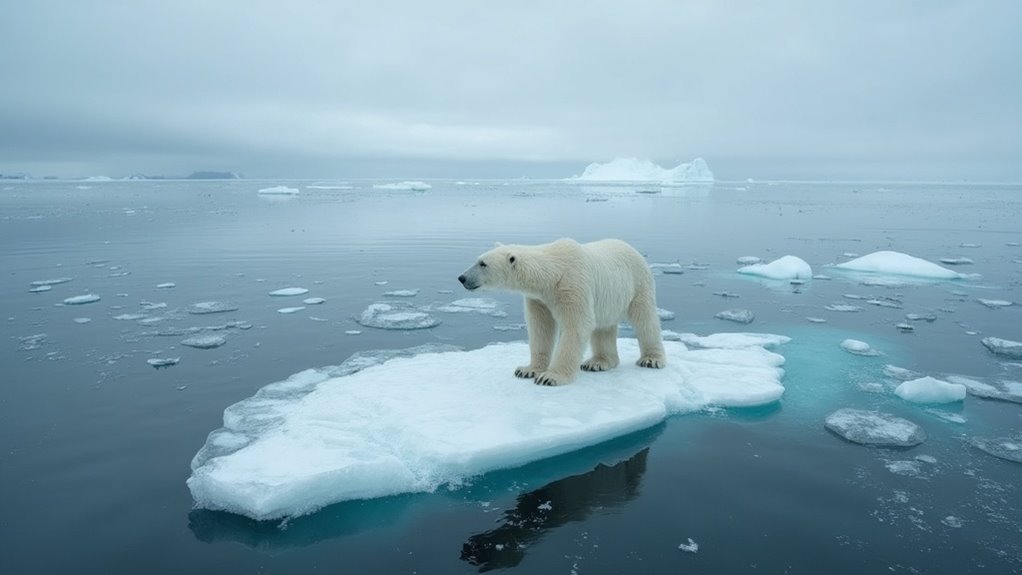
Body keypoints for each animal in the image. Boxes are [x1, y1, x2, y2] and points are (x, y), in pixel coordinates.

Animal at [459, 235, 666, 390]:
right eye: (478, 259)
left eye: (483, 263)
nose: (462, 277)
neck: (552, 273)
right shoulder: (539, 299)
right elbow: (540, 330)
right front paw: (527, 370)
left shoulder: (572, 285)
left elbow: (577, 327)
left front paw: (549, 377)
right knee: (604, 327)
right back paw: (597, 362)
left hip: (638, 283)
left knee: (645, 319)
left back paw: (651, 359)